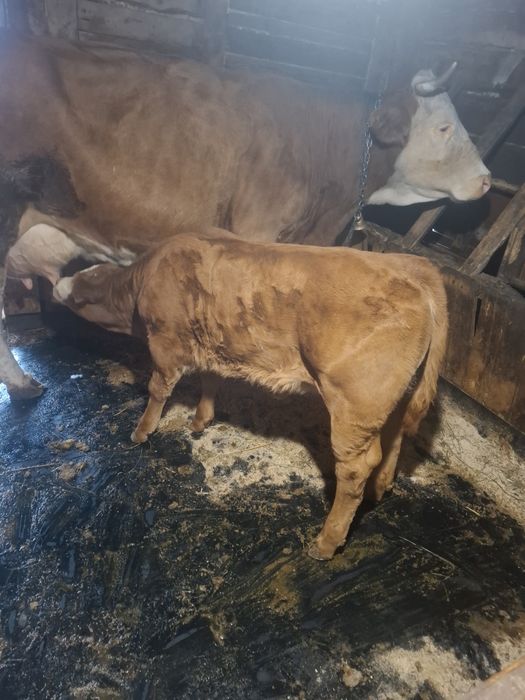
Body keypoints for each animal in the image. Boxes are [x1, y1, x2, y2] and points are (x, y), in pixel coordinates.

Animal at [53, 228, 448, 560]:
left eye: (81, 290)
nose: (56, 284)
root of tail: (411, 265)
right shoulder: (210, 343)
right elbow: (210, 380)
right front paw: (201, 420)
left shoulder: (166, 343)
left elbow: (158, 389)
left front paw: (141, 431)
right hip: (393, 395)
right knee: (395, 435)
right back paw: (380, 488)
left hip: (353, 403)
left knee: (355, 468)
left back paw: (327, 541)